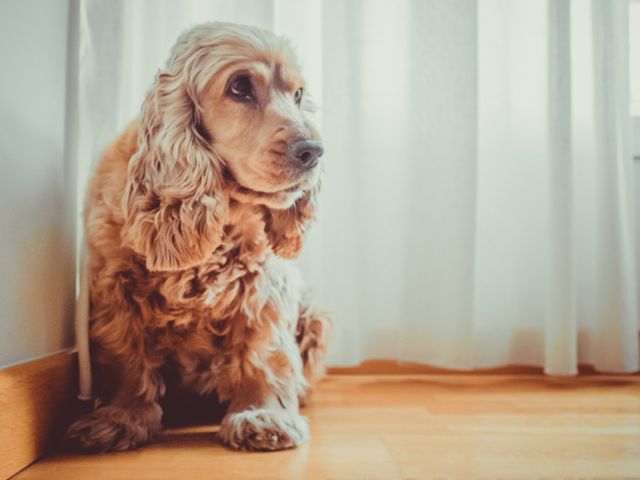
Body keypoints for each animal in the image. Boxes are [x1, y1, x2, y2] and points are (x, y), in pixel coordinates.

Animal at [67, 21, 332, 450]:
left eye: (298, 94)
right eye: (239, 86)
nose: (314, 151)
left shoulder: (262, 288)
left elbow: (261, 353)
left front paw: (262, 415)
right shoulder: (114, 286)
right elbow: (125, 356)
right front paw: (119, 418)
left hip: (316, 314)